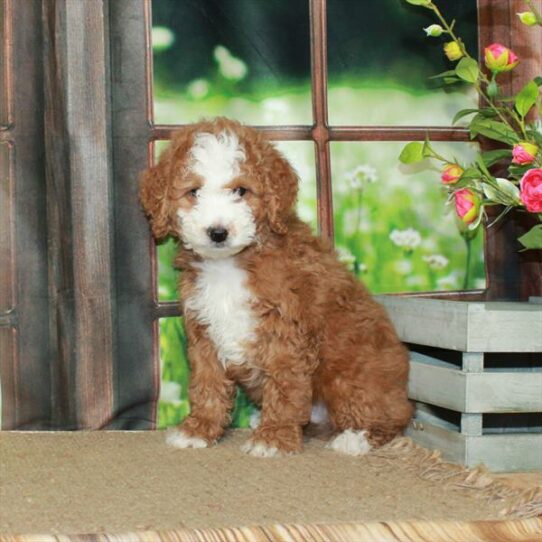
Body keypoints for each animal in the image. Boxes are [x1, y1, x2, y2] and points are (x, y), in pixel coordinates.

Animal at [140, 119, 412, 460]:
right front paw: (199, 429)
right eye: (194, 192)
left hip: (354, 377)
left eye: (241, 191)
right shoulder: (203, 331)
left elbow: (285, 386)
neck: (229, 265)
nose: (217, 232)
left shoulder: (286, 332)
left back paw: (356, 438)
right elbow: (207, 383)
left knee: (390, 417)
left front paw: (274, 437)